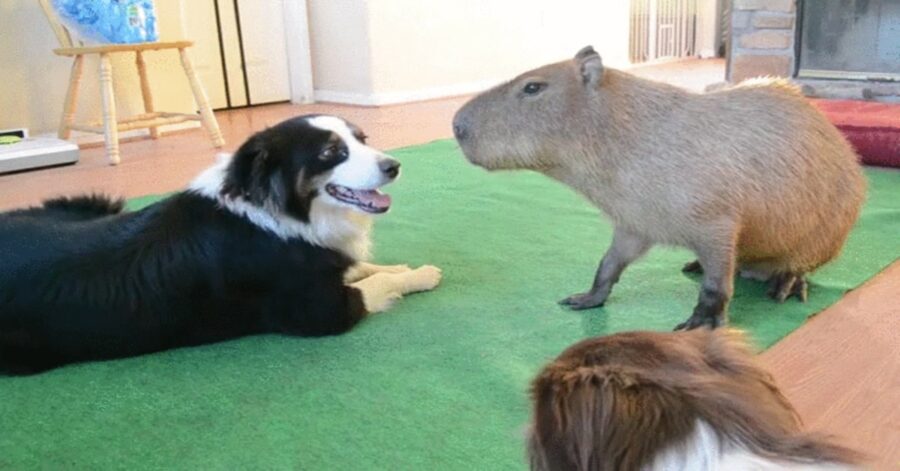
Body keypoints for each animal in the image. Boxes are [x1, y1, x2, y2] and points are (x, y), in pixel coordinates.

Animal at [0, 115, 442, 376]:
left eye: (363, 139)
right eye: (332, 152)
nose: (394, 166)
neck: (279, 210)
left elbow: (360, 266)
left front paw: (400, 267)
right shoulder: (317, 312)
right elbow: (372, 285)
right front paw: (420, 275)